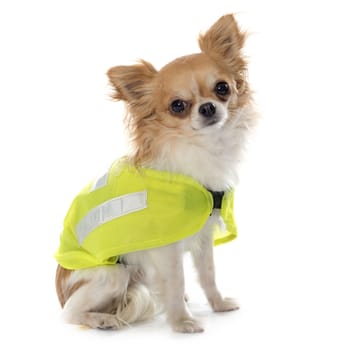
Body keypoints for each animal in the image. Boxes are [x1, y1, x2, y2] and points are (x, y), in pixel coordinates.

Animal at [54, 14, 258, 334]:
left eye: (222, 88)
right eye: (178, 106)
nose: (208, 107)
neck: (200, 149)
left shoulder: (203, 236)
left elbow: (208, 274)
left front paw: (219, 304)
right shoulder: (166, 248)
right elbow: (176, 281)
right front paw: (182, 322)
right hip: (112, 275)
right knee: (70, 313)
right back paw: (102, 319)